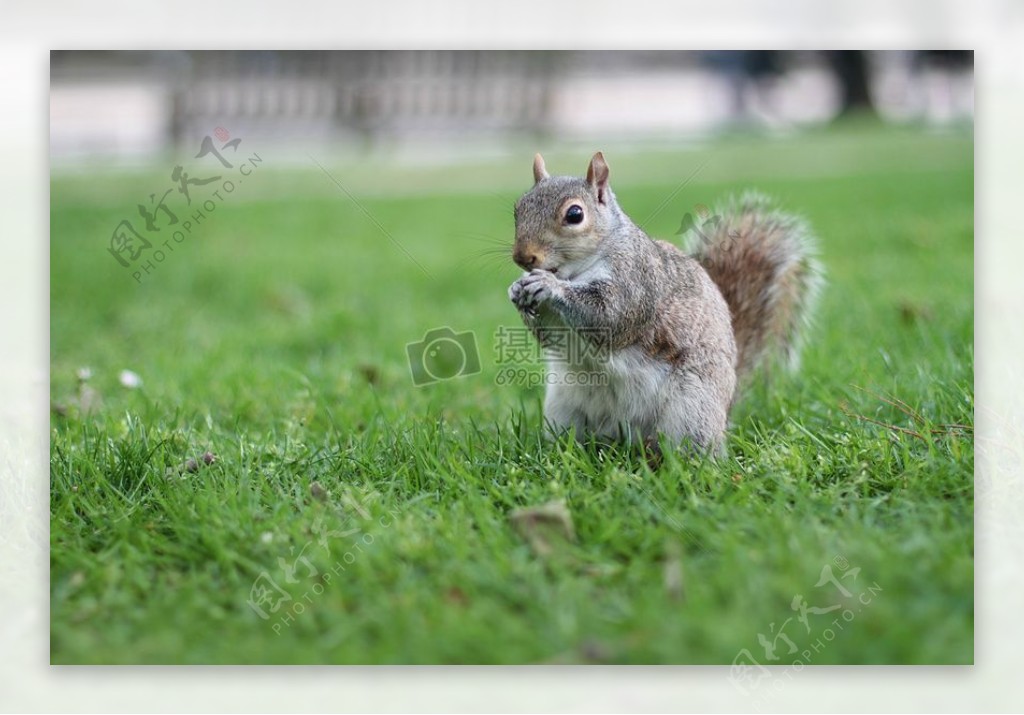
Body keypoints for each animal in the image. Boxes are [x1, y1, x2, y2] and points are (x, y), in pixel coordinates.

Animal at [507, 151, 819, 450]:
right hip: (563, 407)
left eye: (575, 214)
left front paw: (549, 286)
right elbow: (549, 335)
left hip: (692, 408)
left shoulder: (636, 281)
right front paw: (517, 290)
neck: (575, 271)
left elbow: (608, 315)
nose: (523, 257)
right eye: (518, 208)